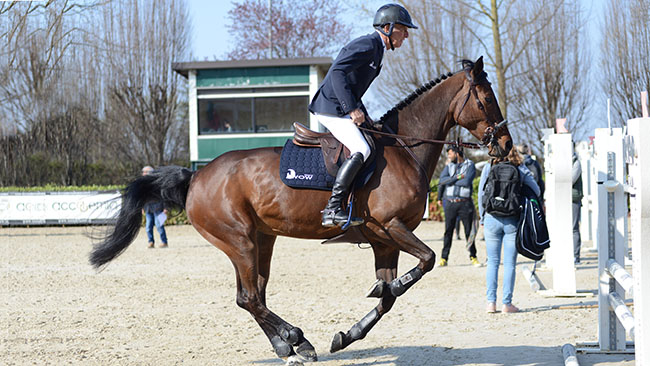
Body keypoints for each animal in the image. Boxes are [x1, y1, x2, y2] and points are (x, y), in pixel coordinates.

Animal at [88, 58, 512, 366]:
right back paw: (296, 340)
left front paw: (347, 334)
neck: (403, 148)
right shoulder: (391, 228)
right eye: (487, 99)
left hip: (262, 241)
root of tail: (197, 175)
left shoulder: (384, 240)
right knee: (249, 298)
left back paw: (286, 346)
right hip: (239, 241)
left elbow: (390, 296)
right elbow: (423, 262)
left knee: (253, 295)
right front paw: (375, 298)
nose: (506, 145)